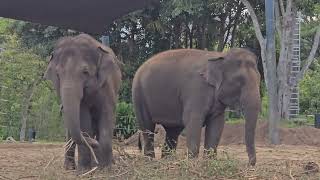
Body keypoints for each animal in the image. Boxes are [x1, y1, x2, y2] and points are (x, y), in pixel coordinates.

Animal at [43, 33, 121, 172]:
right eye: (58, 74)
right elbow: (83, 118)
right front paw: (84, 171)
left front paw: (106, 169)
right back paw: (71, 167)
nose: (95, 143)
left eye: (85, 72)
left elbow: (106, 114)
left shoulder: (108, 85)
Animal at [132, 47, 260, 166]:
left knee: (172, 131)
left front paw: (209, 163)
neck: (220, 56)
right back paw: (150, 161)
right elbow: (193, 120)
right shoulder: (196, 89)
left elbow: (217, 124)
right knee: (147, 127)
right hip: (139, 95)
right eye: (239, 81)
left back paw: (168, 161)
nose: (249, 163)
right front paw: (193, 164)